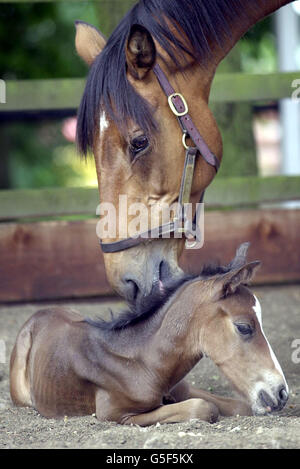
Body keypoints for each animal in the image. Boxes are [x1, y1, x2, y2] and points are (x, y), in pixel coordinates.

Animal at [10, 243, 288, 426]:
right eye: (244, 327)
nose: (282, 394)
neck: (143, 362)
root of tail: (39, 313)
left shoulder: (184, 388)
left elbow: (242, 406)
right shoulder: (117, 415)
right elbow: (204, 408)